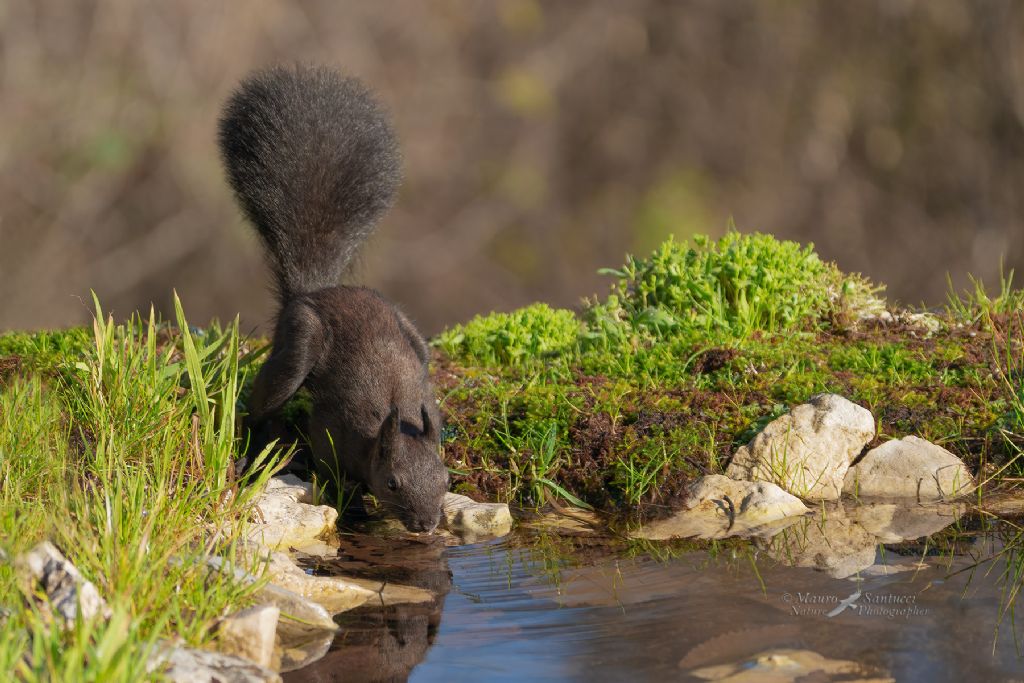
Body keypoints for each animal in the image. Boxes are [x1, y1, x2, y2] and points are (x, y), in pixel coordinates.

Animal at [220, 63, 448, 532]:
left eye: (447, 478)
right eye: (393, 483)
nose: (428, 524)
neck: (389, 421)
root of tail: (319, 290)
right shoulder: (333, 430)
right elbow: (329, 467)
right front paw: (354, 506)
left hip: (411, 332)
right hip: (299, 341)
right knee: (263, 402)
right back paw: (259, 442)